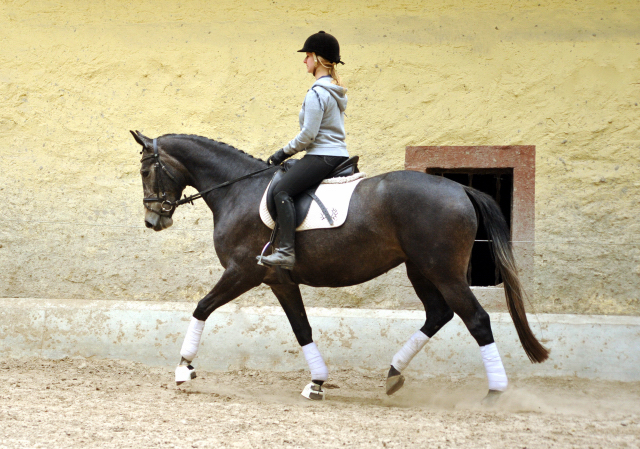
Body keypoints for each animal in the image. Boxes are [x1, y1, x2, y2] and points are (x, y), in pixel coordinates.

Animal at [131, 131, 552, 400]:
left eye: (145, 171)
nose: (153, 221)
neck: (238, 190)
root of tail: (460, 188)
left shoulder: (242, 272)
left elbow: (201, 307)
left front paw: (184, 368)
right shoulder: (280, 280)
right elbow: (301, 328)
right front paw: (317, 382)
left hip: (443, 271)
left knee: (476, 319)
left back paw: (495, 392)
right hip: (420, 269)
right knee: (438, 315)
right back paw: (393, 374)